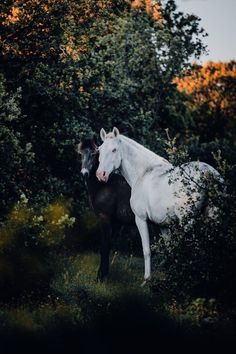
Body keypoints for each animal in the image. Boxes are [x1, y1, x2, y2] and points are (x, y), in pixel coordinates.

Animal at [77, 138, 134, 280]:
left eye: (93, 154)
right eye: (81, 154)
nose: (84, 173)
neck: (103, 186)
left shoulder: (104, 218)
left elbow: (104, 246)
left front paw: (101, 277)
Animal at [96, 127, 221, 284]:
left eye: (114, 150)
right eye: (100, 150)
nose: (100, 174)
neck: (143, 173)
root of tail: (210, 174)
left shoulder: (141, 219)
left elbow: (147, 250)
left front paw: (147, 279)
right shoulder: (164, 225)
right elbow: (170, 251)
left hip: (188, 221)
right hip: (212, 218)